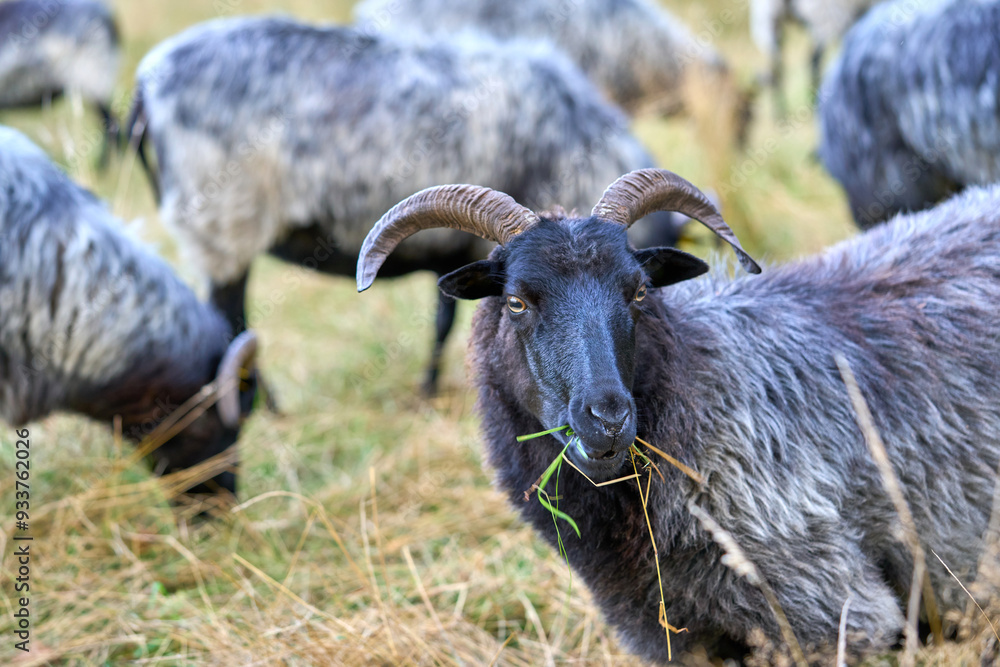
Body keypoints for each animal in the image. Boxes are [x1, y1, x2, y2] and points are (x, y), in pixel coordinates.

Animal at [127, 15, 689, 395]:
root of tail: (146, 82)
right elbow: (447, 323)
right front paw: (430, 388)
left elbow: (443, 316)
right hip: (222, 223)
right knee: (232, 322)